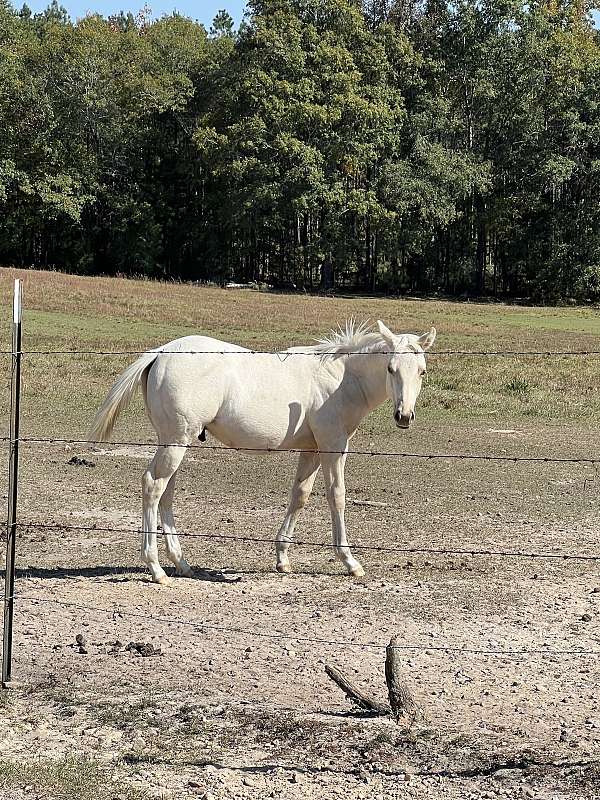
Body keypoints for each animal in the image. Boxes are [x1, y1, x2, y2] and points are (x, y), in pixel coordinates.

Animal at [89, 320, 436, 588]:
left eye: (421, 371)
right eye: (391, 368)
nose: (404, 416)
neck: (341, 378)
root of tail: (162, 352)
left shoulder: (311, 450)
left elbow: (300, 496)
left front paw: (282, 558)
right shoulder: (333, 445)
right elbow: (336, 496)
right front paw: (350, 561)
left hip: (173, 441)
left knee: (166, 493)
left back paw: (182, 563)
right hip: (176, 442)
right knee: (153, 485)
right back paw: (156, 568)